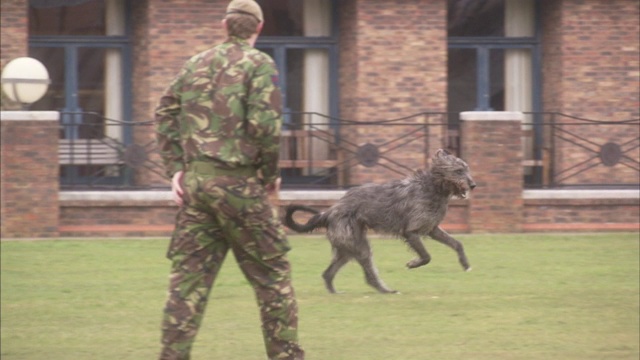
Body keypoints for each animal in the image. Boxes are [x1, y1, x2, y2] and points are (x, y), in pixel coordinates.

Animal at [284, 148, 476, 292]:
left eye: (466, 168)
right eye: (458, 171)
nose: (473, 185)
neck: (433, 187)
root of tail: (329, 212)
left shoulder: (432, 228)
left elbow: (457, 243)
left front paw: (466, 264)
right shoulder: (411, 231)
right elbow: (426, 256)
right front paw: (413, 263)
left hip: (347, 247)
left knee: (328, 273)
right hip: (356, 243)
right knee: (367, 270)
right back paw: (386, 290)